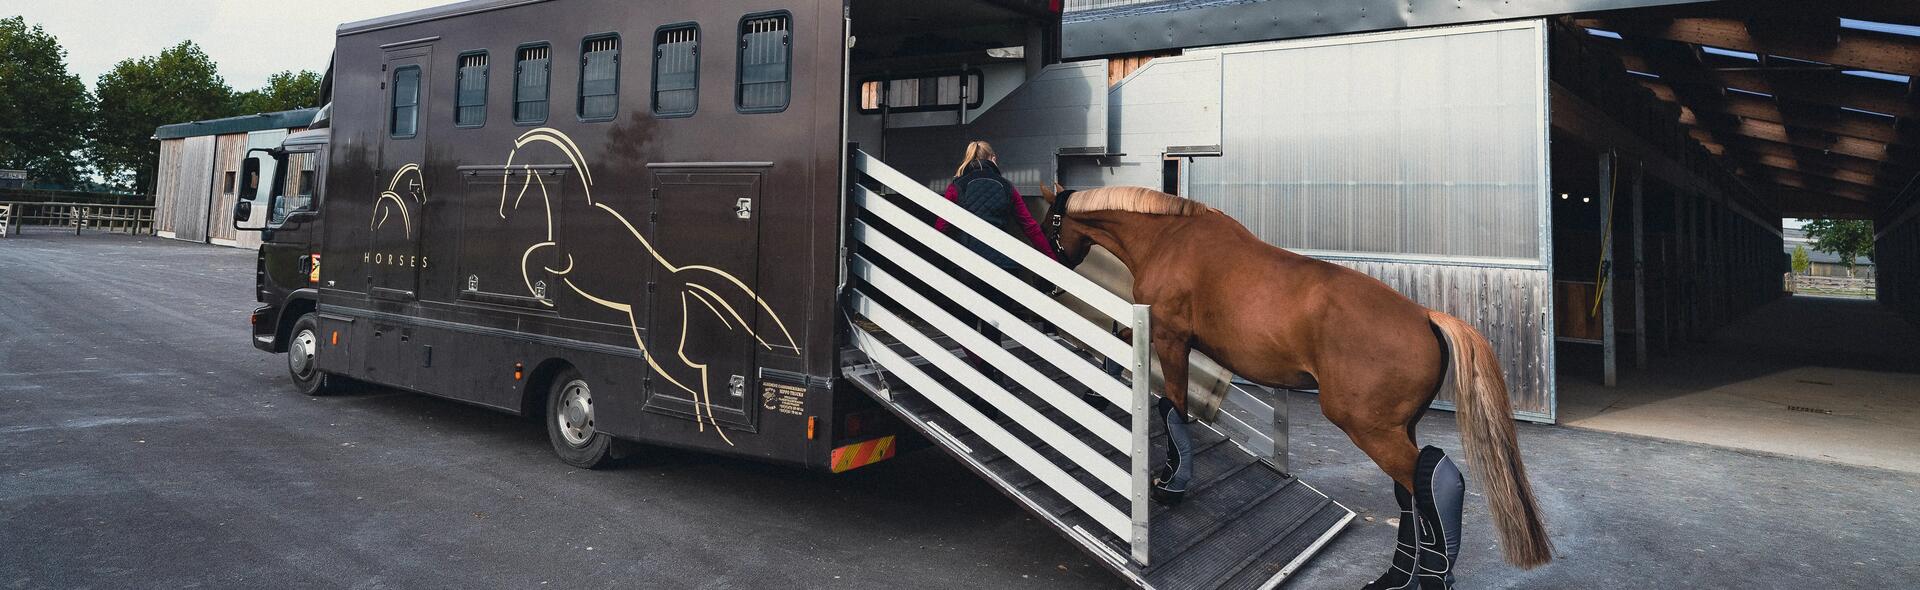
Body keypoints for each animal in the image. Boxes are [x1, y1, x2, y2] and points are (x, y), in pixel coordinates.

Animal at [1044, 184, 1551, 588]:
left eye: (1051, 222)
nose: (1053, 272)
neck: (1170, 240)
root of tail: (1426, 316)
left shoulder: (1170, 339)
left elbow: (1173, 407)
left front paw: (1171, 483)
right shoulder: (1170, 339)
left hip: (1370, 428)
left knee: (1434, 482)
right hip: (1398, 429)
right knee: (1411, 490)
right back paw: (1395, 576)